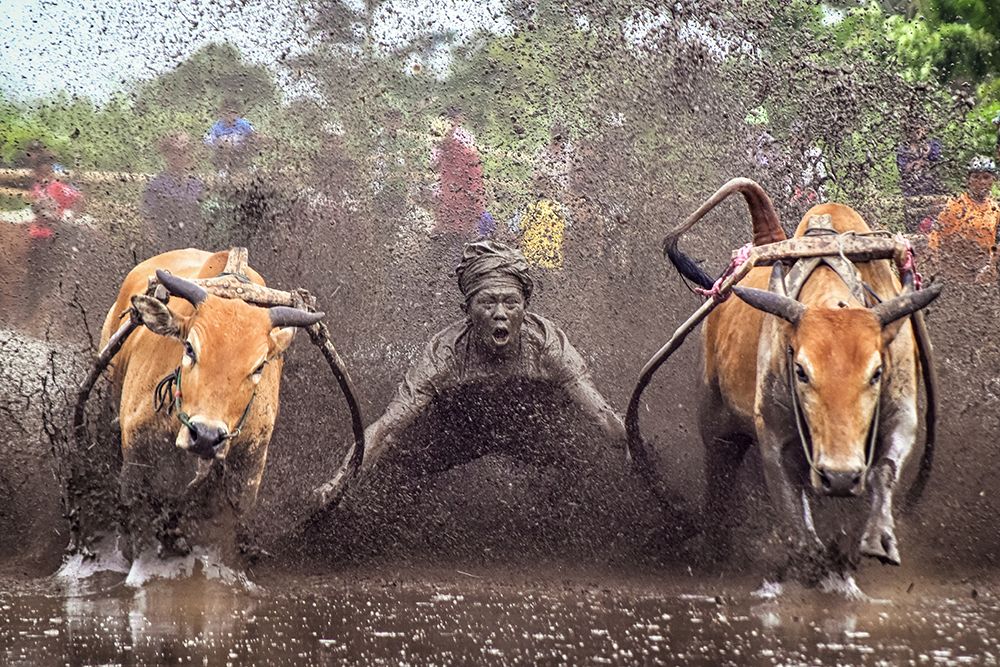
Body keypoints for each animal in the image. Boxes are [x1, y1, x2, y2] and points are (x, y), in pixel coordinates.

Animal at [664, 180, 936, 580]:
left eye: (876, 373)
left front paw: (878, 539)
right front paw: (811, 560)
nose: (840, 476)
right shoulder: (774, 434)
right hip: (715, 425)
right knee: (719, 480)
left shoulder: (900, 415)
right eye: (801, 371)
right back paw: (715, 546)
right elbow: (792, 505)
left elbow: (884, 470)